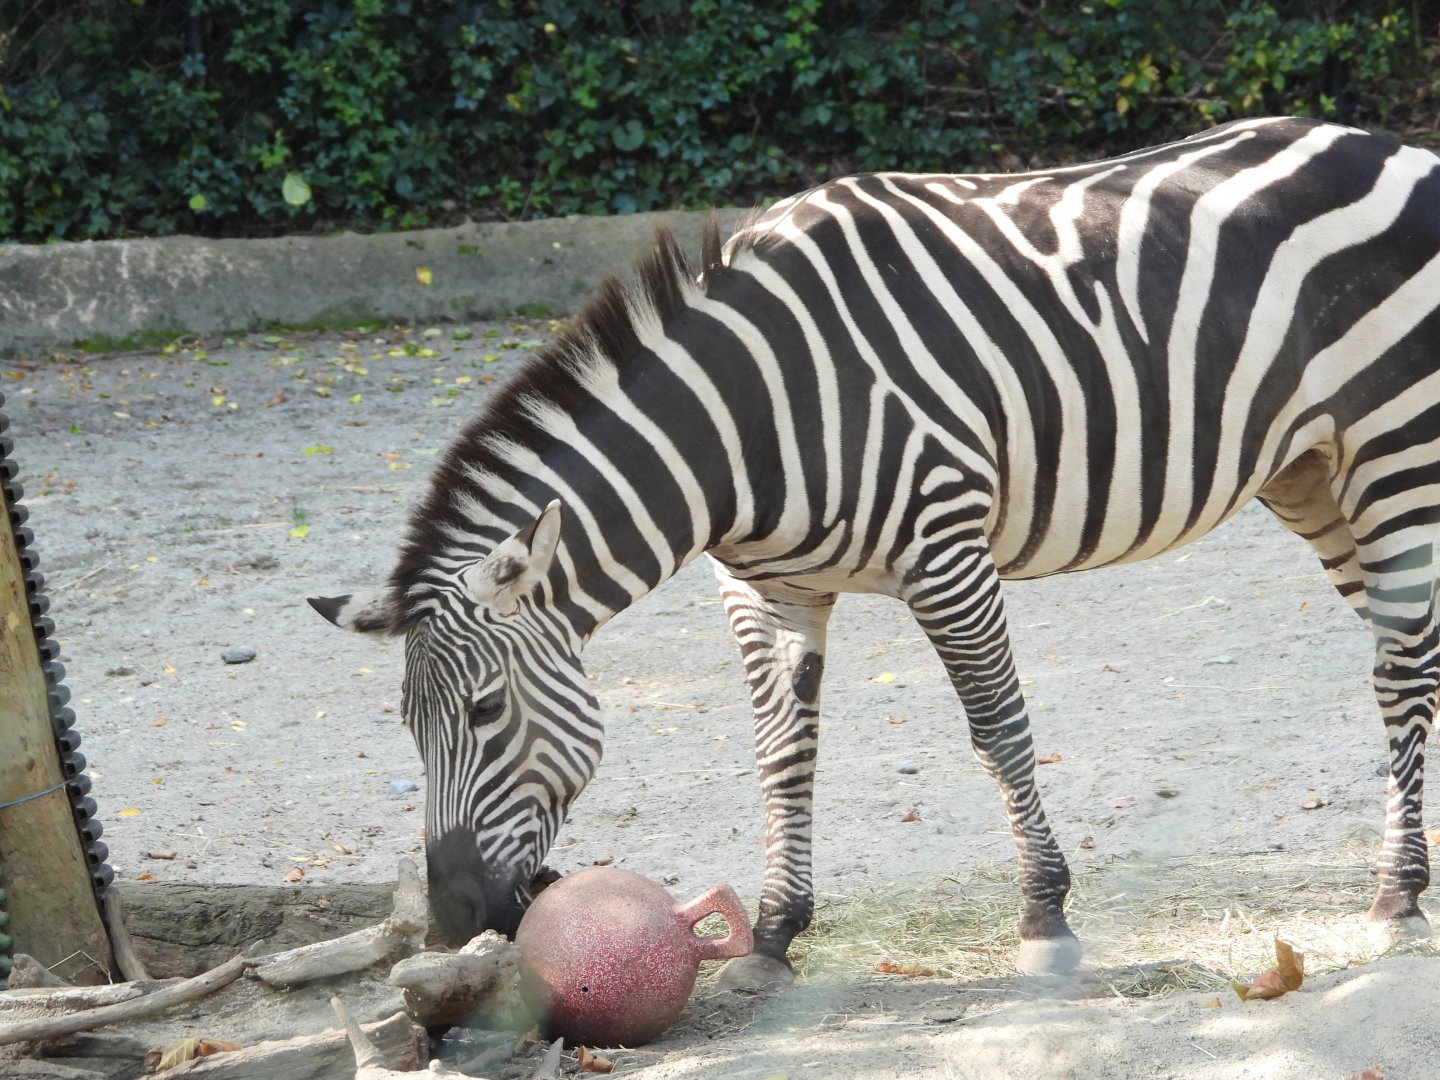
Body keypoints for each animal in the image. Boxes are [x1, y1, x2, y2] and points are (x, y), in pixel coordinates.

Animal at [312, 116, 1440, 986]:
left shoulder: (945, 550)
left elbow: (999, 731)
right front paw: (772, 936)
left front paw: (1045, 921)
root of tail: (1393, 145)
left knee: (1405, 670)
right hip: (1312, 474)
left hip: (1395, 448)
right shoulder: (765, 590)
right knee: (1408, 663)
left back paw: (1396, 901)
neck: (747, 423)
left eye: (483, 712)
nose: (454, 920)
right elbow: (783, 754)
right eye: (407, 724)